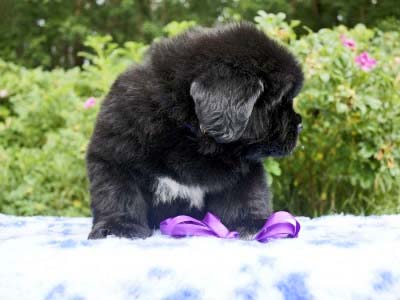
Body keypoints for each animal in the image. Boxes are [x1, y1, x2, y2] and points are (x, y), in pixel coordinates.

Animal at [85, 22, 304, 239]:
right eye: (280, 101)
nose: (300, 124)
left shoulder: (245, 169)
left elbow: (247, 195)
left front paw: (252, 225)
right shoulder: (114, 156)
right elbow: (118, 194)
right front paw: (119, 228)